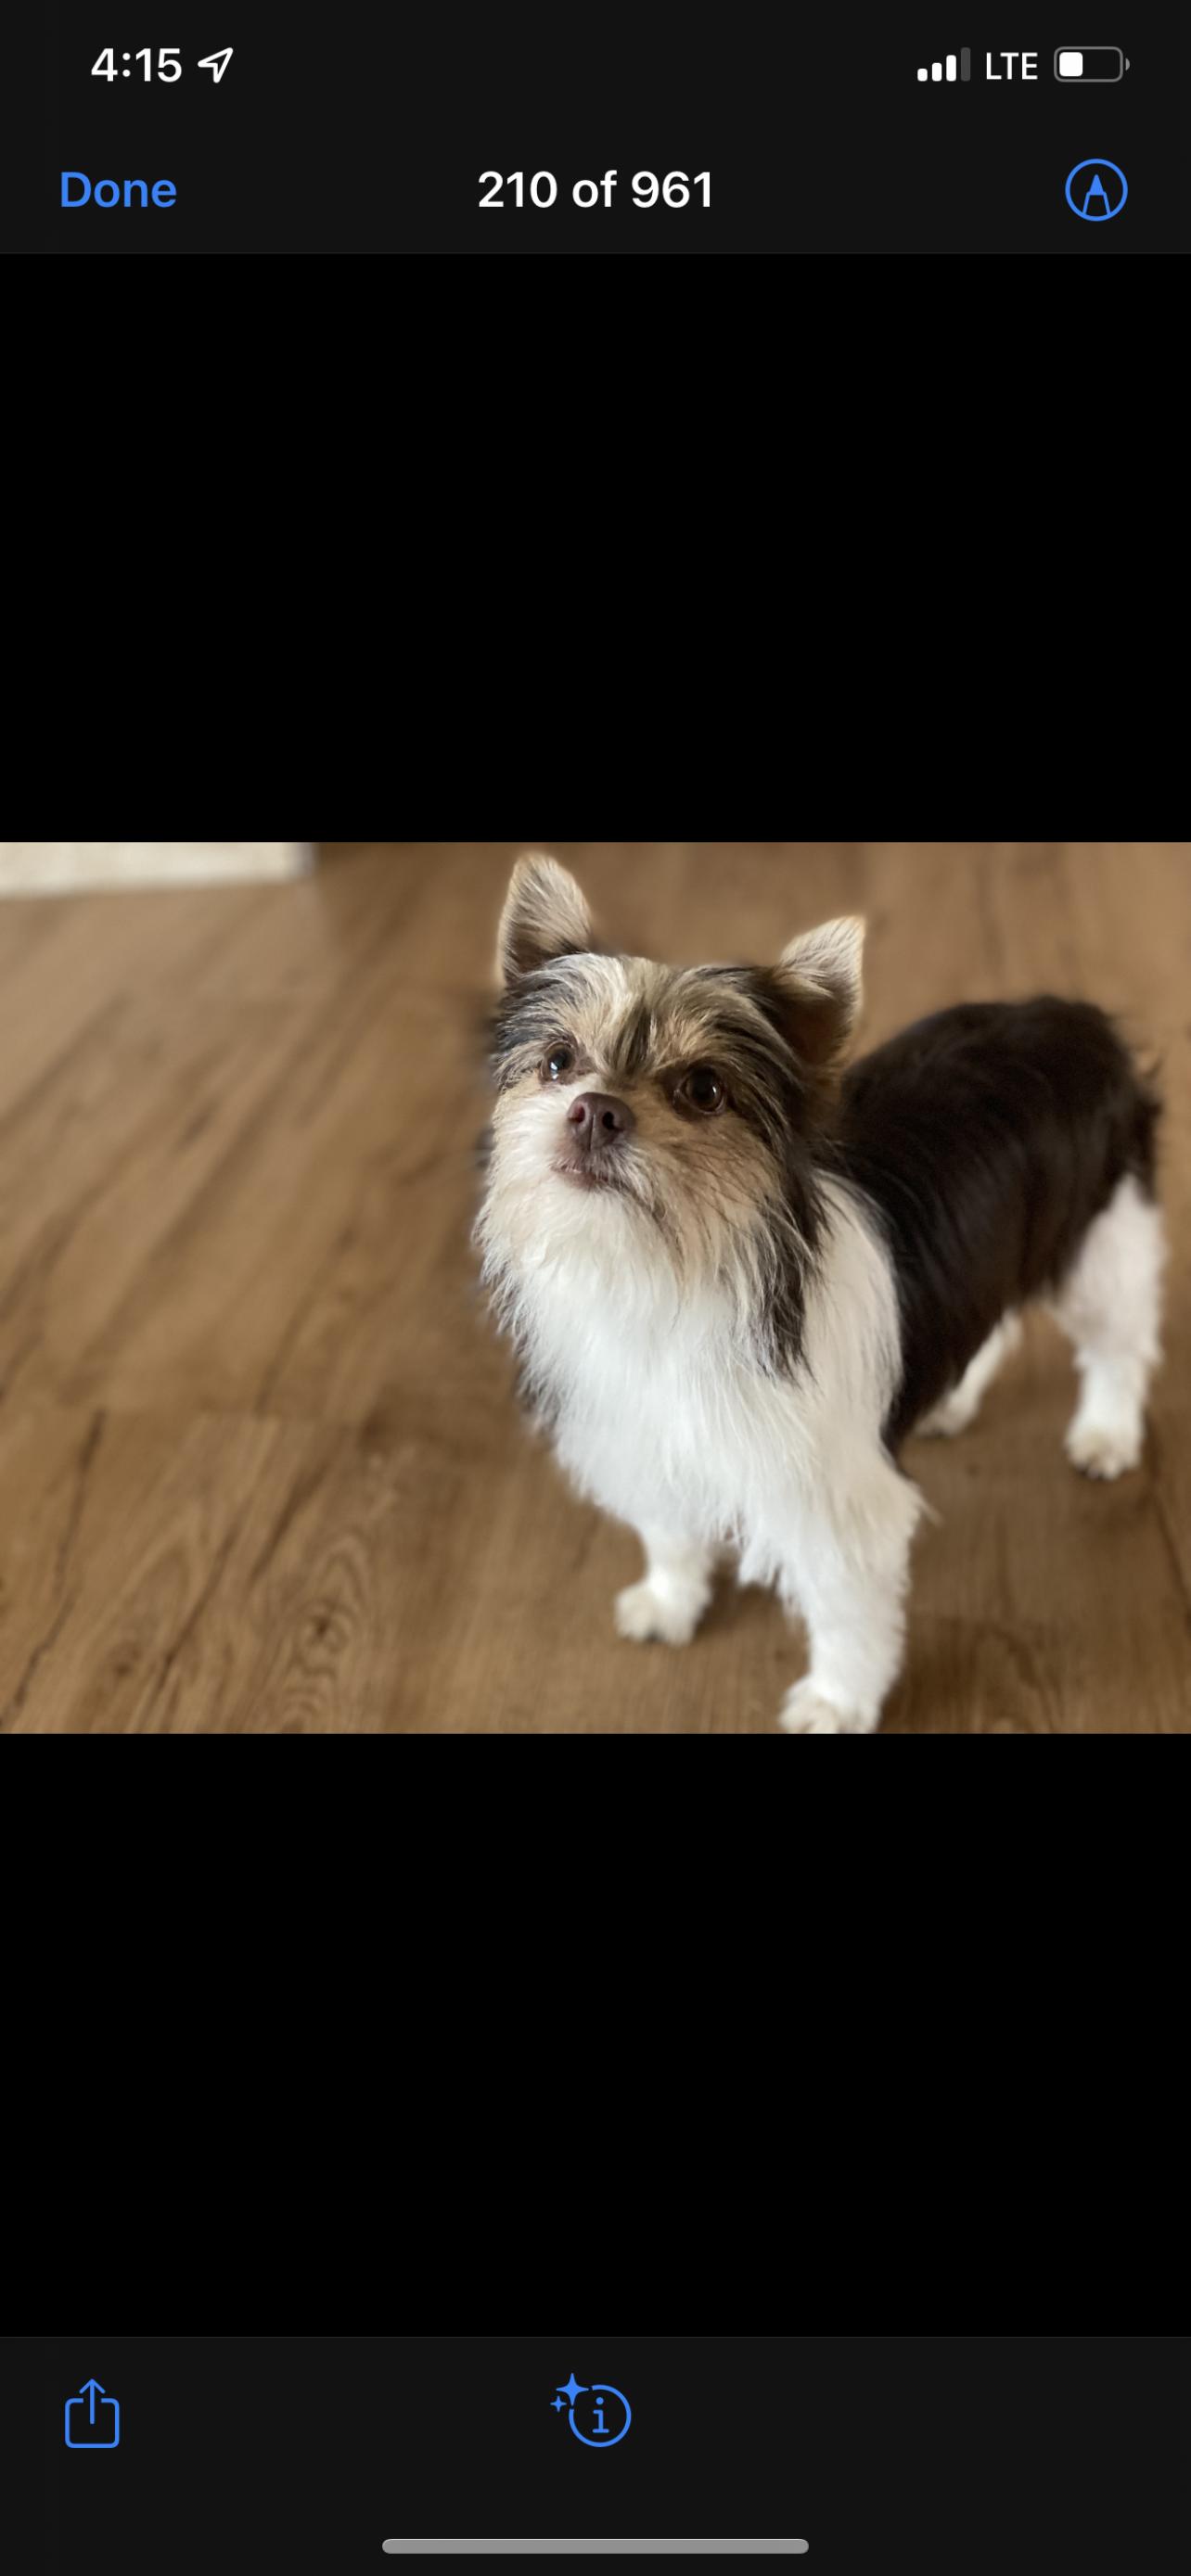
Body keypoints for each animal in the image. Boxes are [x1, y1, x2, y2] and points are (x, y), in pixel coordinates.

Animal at [476, 854, 1165, 1732]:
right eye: (559, 1061)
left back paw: (1106, 1435)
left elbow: (845, 1612)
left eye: (704, 1089)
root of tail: (1076, 1017)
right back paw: (950, 1401)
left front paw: (837, 1701)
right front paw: (669, 1604)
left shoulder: (832, 1503)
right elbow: (669, 1534)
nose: (593, 1111)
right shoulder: (644, 1438)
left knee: (1116, 1345)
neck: (663, 1268)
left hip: (1099, 1239)